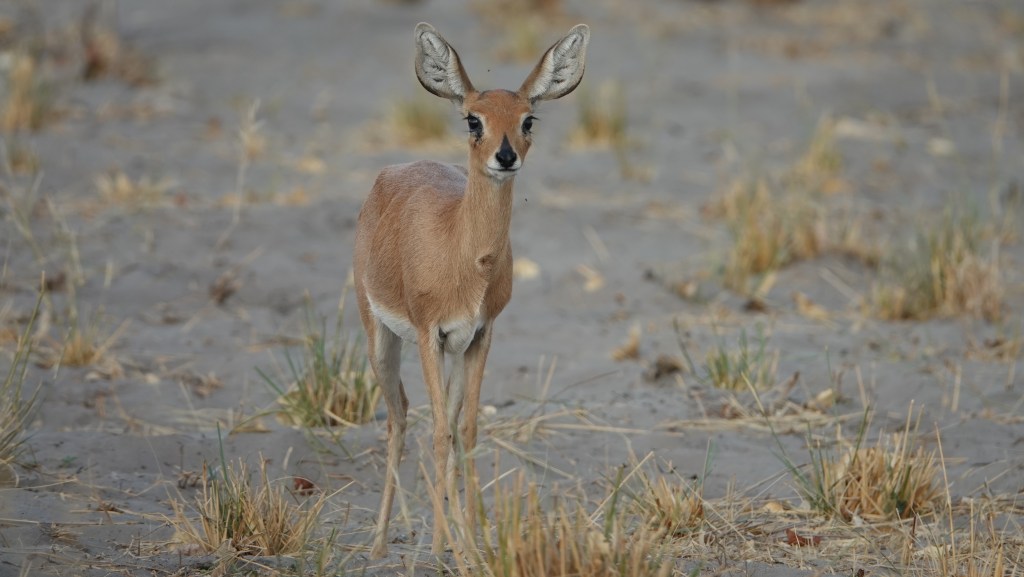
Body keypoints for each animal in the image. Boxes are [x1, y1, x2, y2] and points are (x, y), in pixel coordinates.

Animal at [352, 22, 589, 558]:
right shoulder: (427, 334)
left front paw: (470, 542)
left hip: (453, 351)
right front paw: (447, 549)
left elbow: (468, 429)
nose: (505, 157)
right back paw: (378, 544)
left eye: (528, 119)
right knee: (399, 416)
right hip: (382, 336)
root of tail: (390, 174)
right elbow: (440, 433)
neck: (462, 253)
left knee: (437, 417)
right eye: (472, 120)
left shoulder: (480, 334)